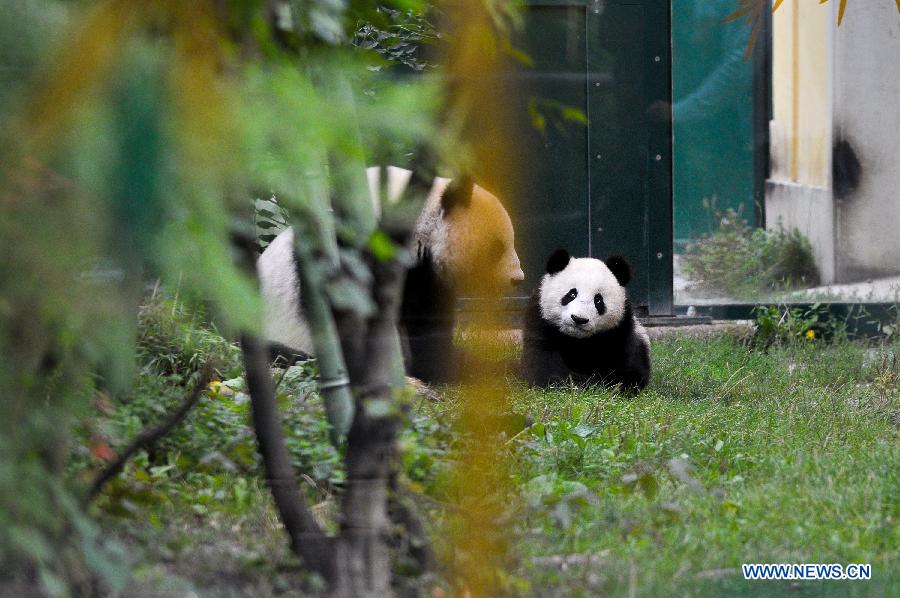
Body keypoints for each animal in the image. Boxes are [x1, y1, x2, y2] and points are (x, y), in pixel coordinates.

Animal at [520, 250, 652, 394]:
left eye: (598, 300)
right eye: (571, 294)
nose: (579, 319)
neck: (577, 341)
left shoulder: (620, 329)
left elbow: (618, 366)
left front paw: (594, 385)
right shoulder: (541, 320)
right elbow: (543, 358)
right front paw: (563, 383)